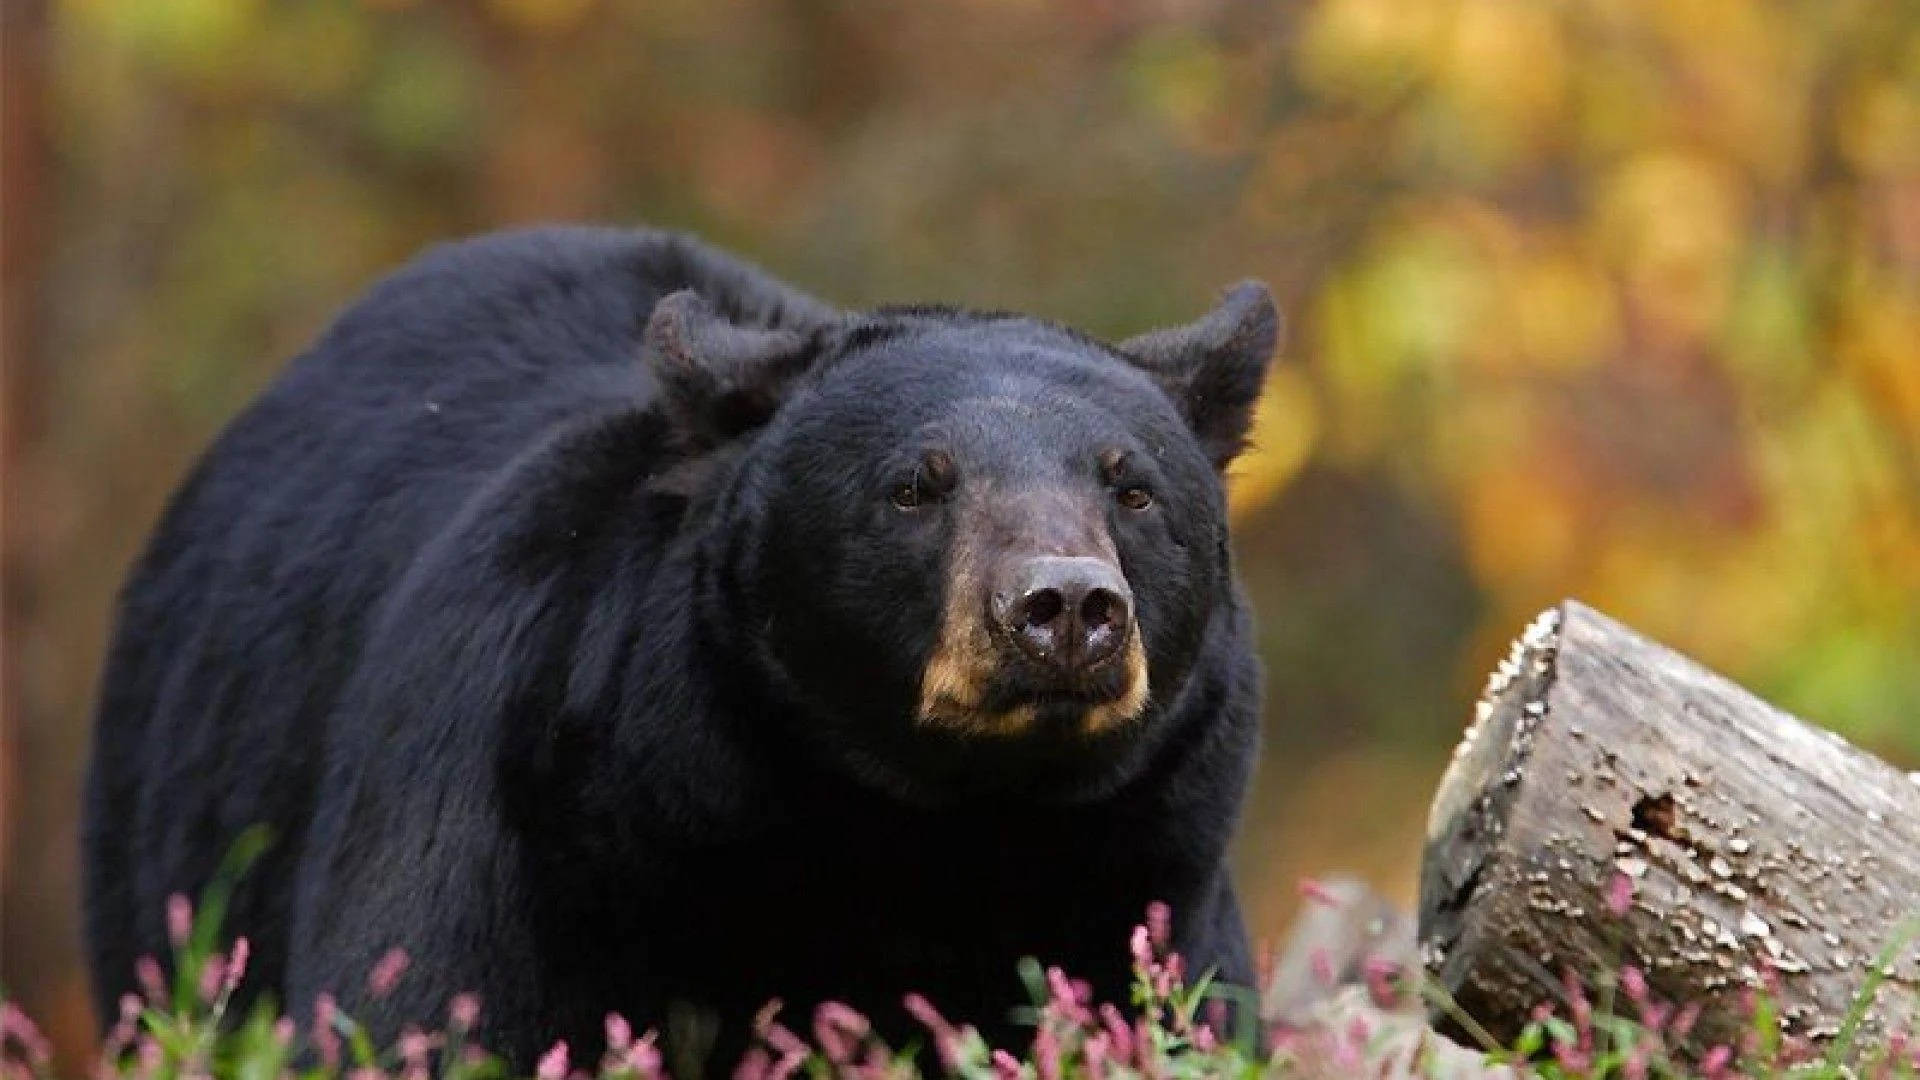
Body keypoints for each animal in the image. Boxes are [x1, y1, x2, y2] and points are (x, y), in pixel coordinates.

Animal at [90, 226, 1282, 1068]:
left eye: (1132, 488)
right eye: (914, 486)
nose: (1064, 605)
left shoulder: (1146, 876)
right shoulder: (516, 804)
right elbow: (430, 1002)